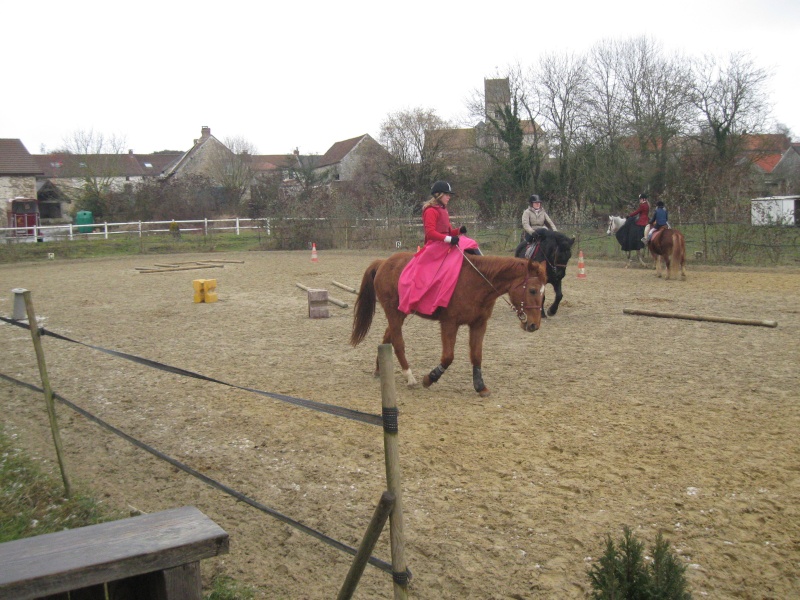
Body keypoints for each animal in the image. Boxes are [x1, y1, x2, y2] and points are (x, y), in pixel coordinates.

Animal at [352, 252, 552, 396]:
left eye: (544, 293)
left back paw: (380, 369)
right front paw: (430, 378)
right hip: (394, 312)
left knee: (388, 337)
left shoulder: (479, 324)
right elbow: (448, 357)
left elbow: (476, 356)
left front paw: (480, 386)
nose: (534, 325)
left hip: (401, 313)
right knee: (398, 342)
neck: (477, 283)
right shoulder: (449, 323)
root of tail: (384, 262)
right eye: (532, 290)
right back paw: (409, 376)